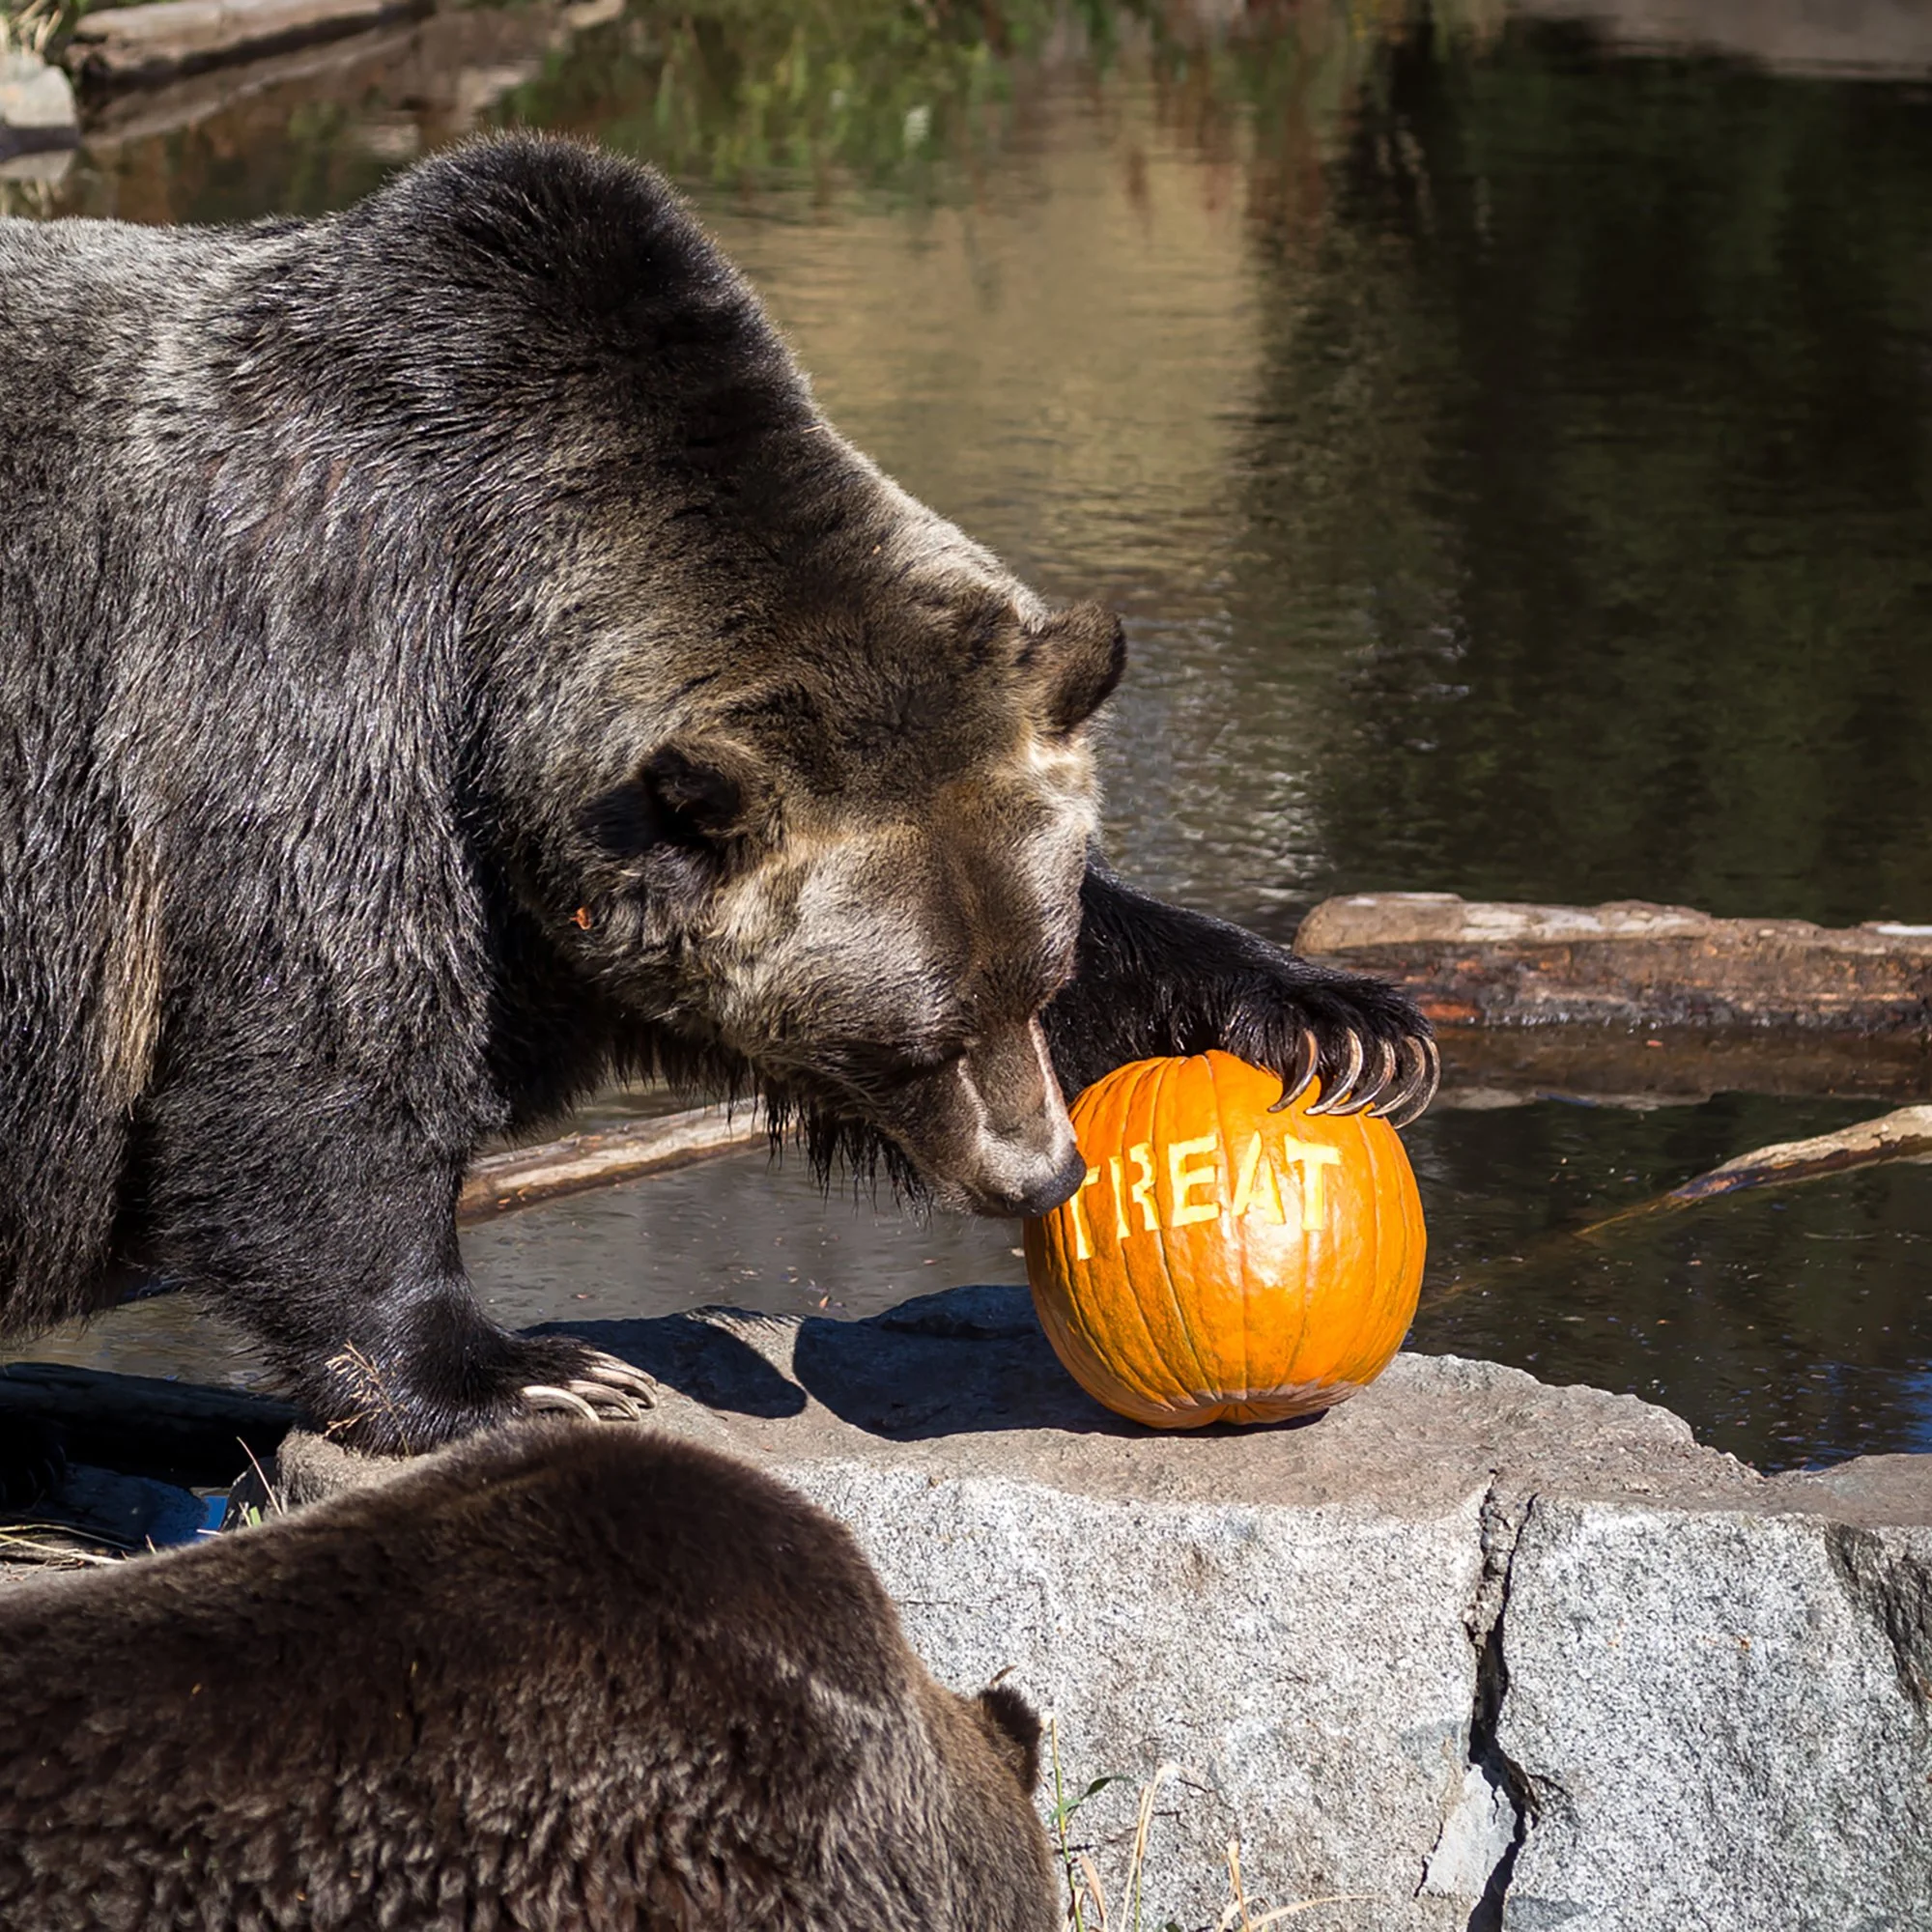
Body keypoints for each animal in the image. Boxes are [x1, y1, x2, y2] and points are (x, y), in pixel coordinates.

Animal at [0, 135, 1435, 1457]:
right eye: (910, 1037)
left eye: (1036, 975)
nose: (1040, 1171)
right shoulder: (307, 674)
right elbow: (319, 1056)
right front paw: (522, 1370)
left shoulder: (560, 904)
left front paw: (1336, 1025)